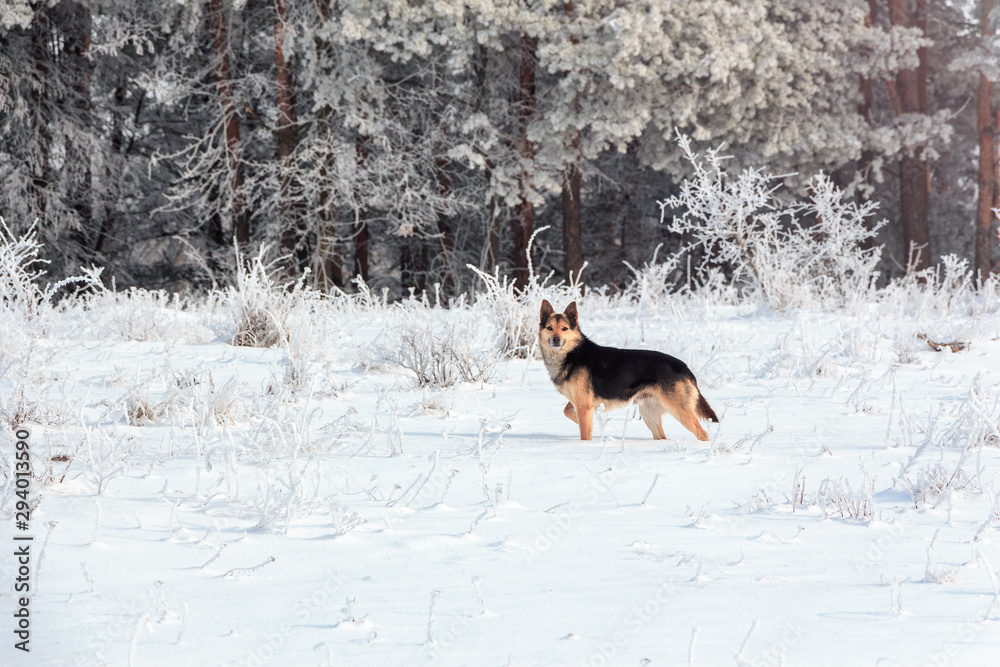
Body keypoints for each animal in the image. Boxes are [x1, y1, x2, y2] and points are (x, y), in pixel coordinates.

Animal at [540, 300, 720, 440]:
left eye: (564, 329)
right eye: (549, 328)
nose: (556, 340)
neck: (573, 353)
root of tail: (685, 367)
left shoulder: (584, 406)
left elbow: (584, 433)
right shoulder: (580, 404)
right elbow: (568, 412)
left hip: (680, 412)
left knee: (702, 434)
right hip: (650, 415)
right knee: (662, 436)